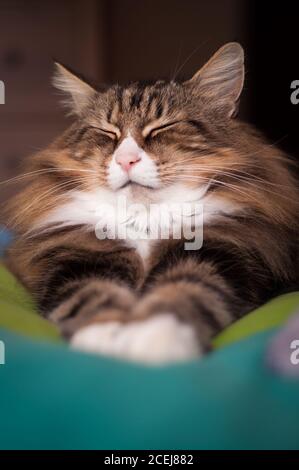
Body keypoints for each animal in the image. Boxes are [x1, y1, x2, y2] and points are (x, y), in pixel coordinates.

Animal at [5, 42, 299, 364]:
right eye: (107, 132)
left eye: (161, 127)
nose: (126, 160)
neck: (144, 220)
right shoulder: (76, 260)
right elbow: (91, 297)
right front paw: (104, 337)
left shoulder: (222, 253)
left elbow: (185, 293)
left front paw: (155, 339)